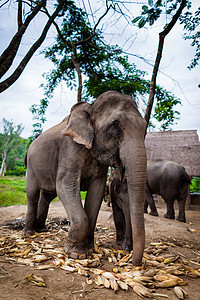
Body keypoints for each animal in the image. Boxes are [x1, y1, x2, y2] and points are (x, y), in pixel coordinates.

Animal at [25, 90, 147, 266]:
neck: (90, 106)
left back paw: (41, 229)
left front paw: (88, 250)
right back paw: (28, 233)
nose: (133, 262)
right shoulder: (70, 148)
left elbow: (96, 192)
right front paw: (76, 254)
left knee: (47, 195)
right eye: (115, 125)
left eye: (145, 128)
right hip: (31, 166)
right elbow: (65, 185)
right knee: (32, 194)